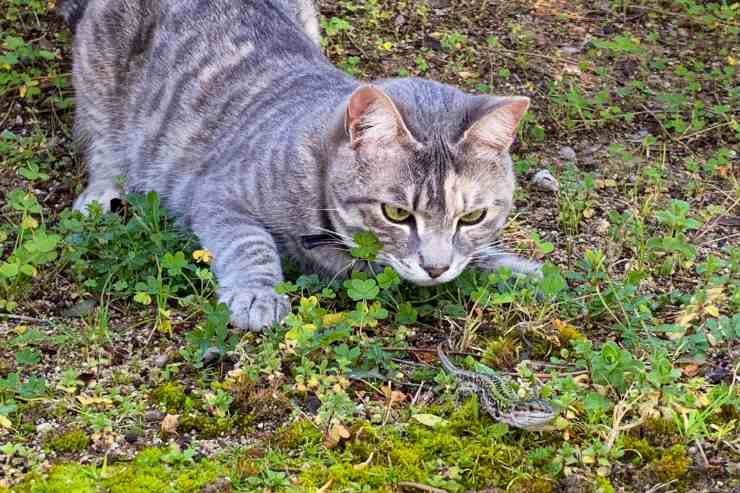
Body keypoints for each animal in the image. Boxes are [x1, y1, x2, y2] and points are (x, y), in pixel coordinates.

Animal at [59, 0, 544, 330]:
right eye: (397, 214)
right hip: (101, 78)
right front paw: (258, 294)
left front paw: (524, 271)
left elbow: (484, 258)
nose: (436, 267)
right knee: (104, 143)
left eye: (473, 217)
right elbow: (250, 241)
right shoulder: (218, 194)